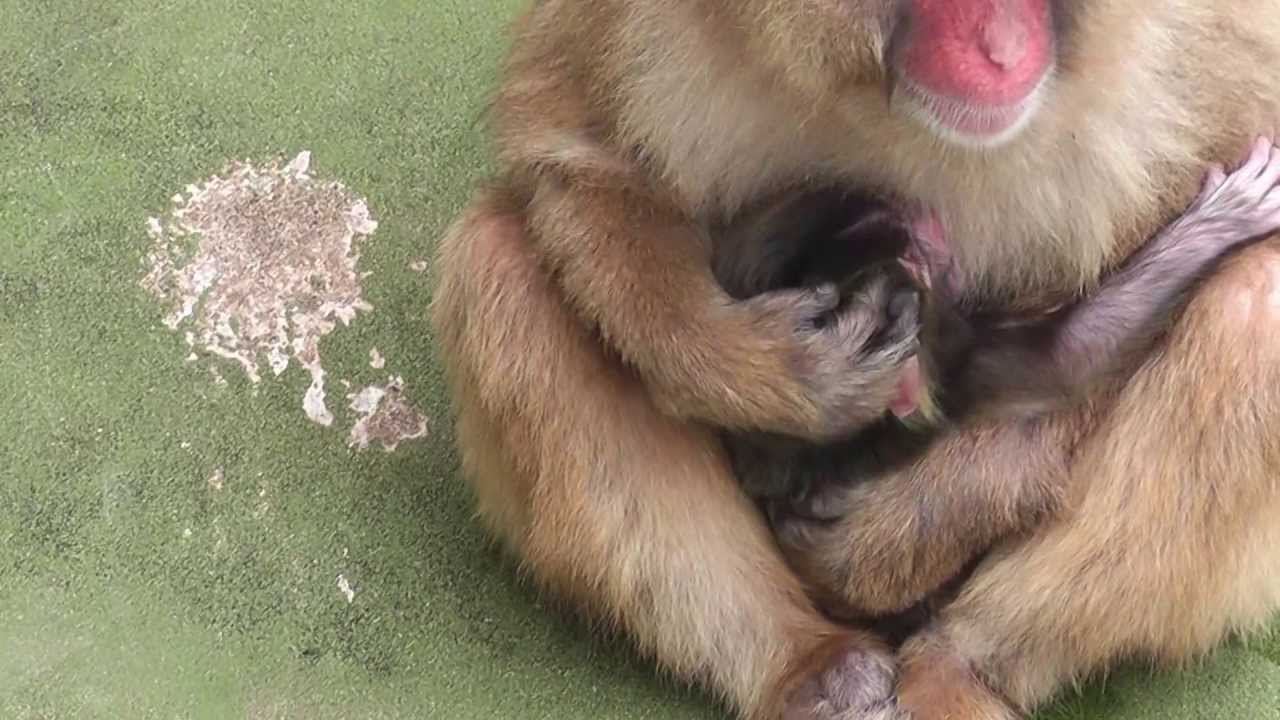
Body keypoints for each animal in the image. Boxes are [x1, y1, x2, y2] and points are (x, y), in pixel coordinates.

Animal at [429, 1, 1280, 719]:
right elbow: (577, 149)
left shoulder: (1212, 35)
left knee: (1254, 305)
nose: (1000, 51)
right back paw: (805, 665)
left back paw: (960, 666)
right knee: (501, 260)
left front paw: (886, 539)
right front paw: (765, 374)